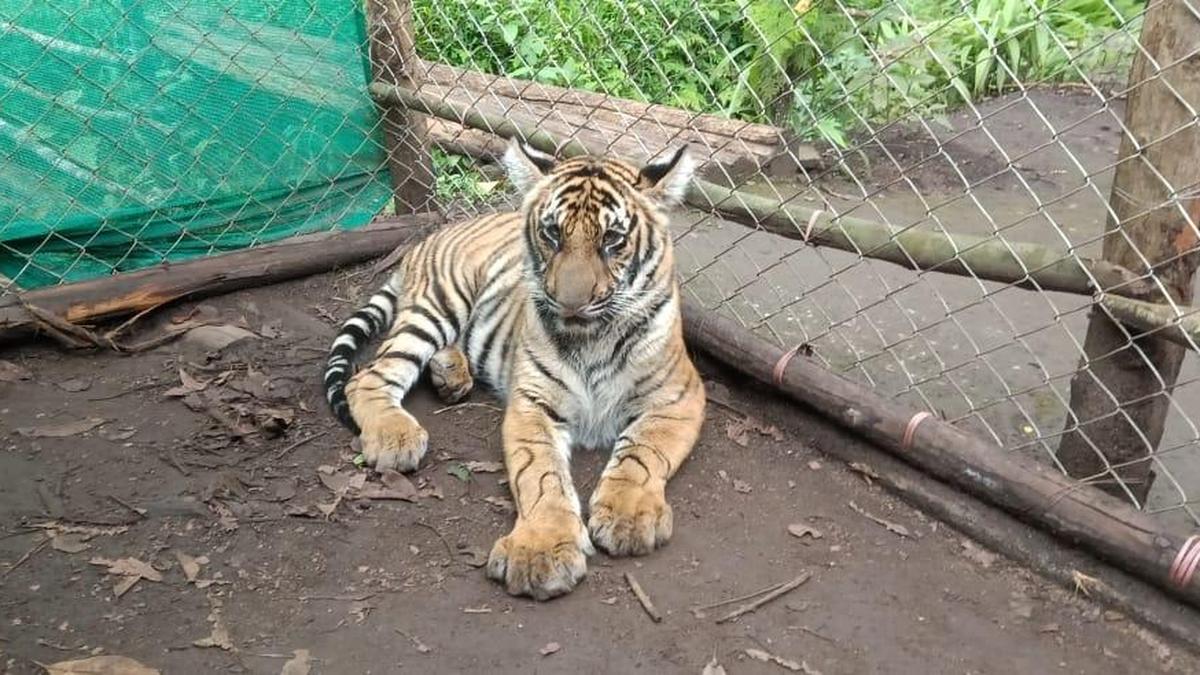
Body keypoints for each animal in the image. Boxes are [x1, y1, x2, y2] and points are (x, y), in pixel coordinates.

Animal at [323, 139, 705, 600]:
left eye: (613, 239)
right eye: (553, 233)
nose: (570, 303)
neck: (593, 337)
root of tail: (427, 237)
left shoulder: (678, 397)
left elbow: (642, 454)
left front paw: (629, 518)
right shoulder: (532, 404)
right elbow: (540, 475)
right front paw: (540, 552)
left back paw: (451, 376)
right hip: (438, 304)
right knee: (369, 376)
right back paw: (395, 438)